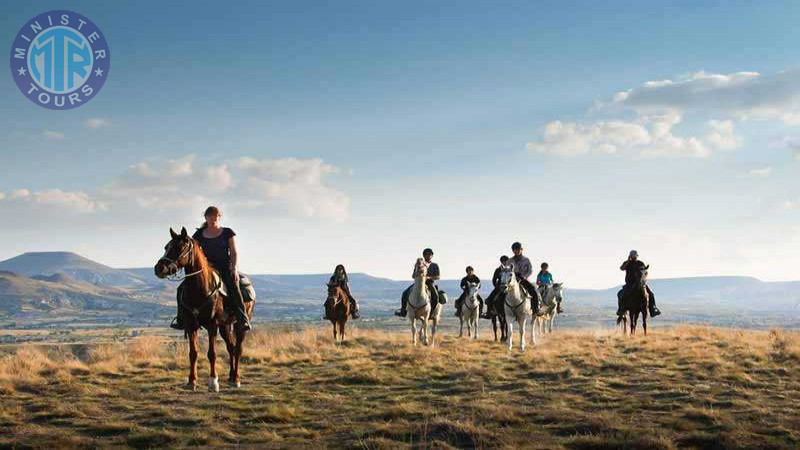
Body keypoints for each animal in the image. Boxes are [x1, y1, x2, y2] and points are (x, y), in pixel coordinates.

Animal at [155, 227, 255, 392]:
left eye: (179, 247)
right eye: (166, 247)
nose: (159, 268)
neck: (199, 288)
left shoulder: (212, 325)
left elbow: (212, 353)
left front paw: (213, 382)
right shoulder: (191, 325)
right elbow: (193, 353)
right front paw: (191, 381)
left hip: (239, 324)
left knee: (238, 349)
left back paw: (236, 378)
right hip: (225, 325)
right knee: (231, 347)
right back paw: (231, 377)